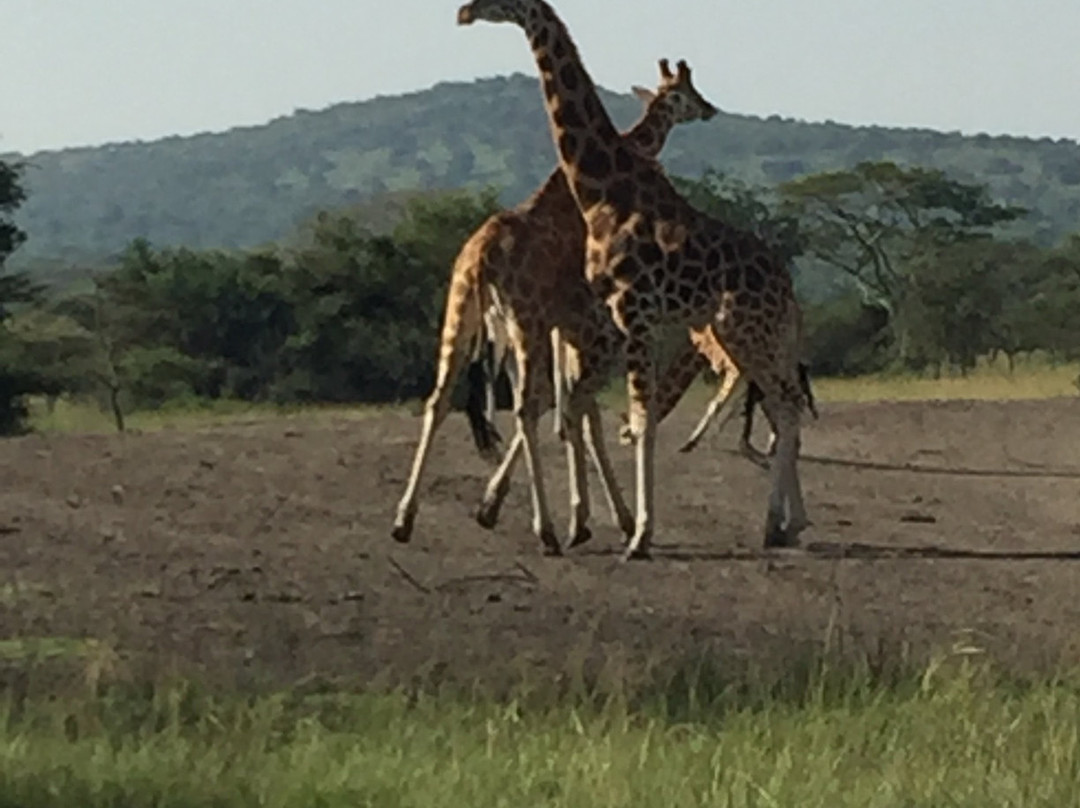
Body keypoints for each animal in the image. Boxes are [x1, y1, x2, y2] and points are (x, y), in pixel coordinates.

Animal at [390, 58, 717, 557]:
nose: (709, 109)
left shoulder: (568, 324)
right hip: (525, 322)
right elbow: (574, 410)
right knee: (527, 405)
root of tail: (480, 257)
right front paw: (601, 520)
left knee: (441, 399)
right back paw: (545, 529)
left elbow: (572, 411)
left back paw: (405, 520)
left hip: (462, 316)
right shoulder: (585, 323)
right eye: (685, 91)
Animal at [455, 0, 812, 557]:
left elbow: (636, 419)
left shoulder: (633, 314)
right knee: (783, 403)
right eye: (685, 92)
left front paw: (639, 533)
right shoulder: (618, 321)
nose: (464, 13)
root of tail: (786, 284)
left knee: (785, 404)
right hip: (743, 334)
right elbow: (610, 414)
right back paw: (780, 523)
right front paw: (620, 524)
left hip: (745, 331)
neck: (604, 188)